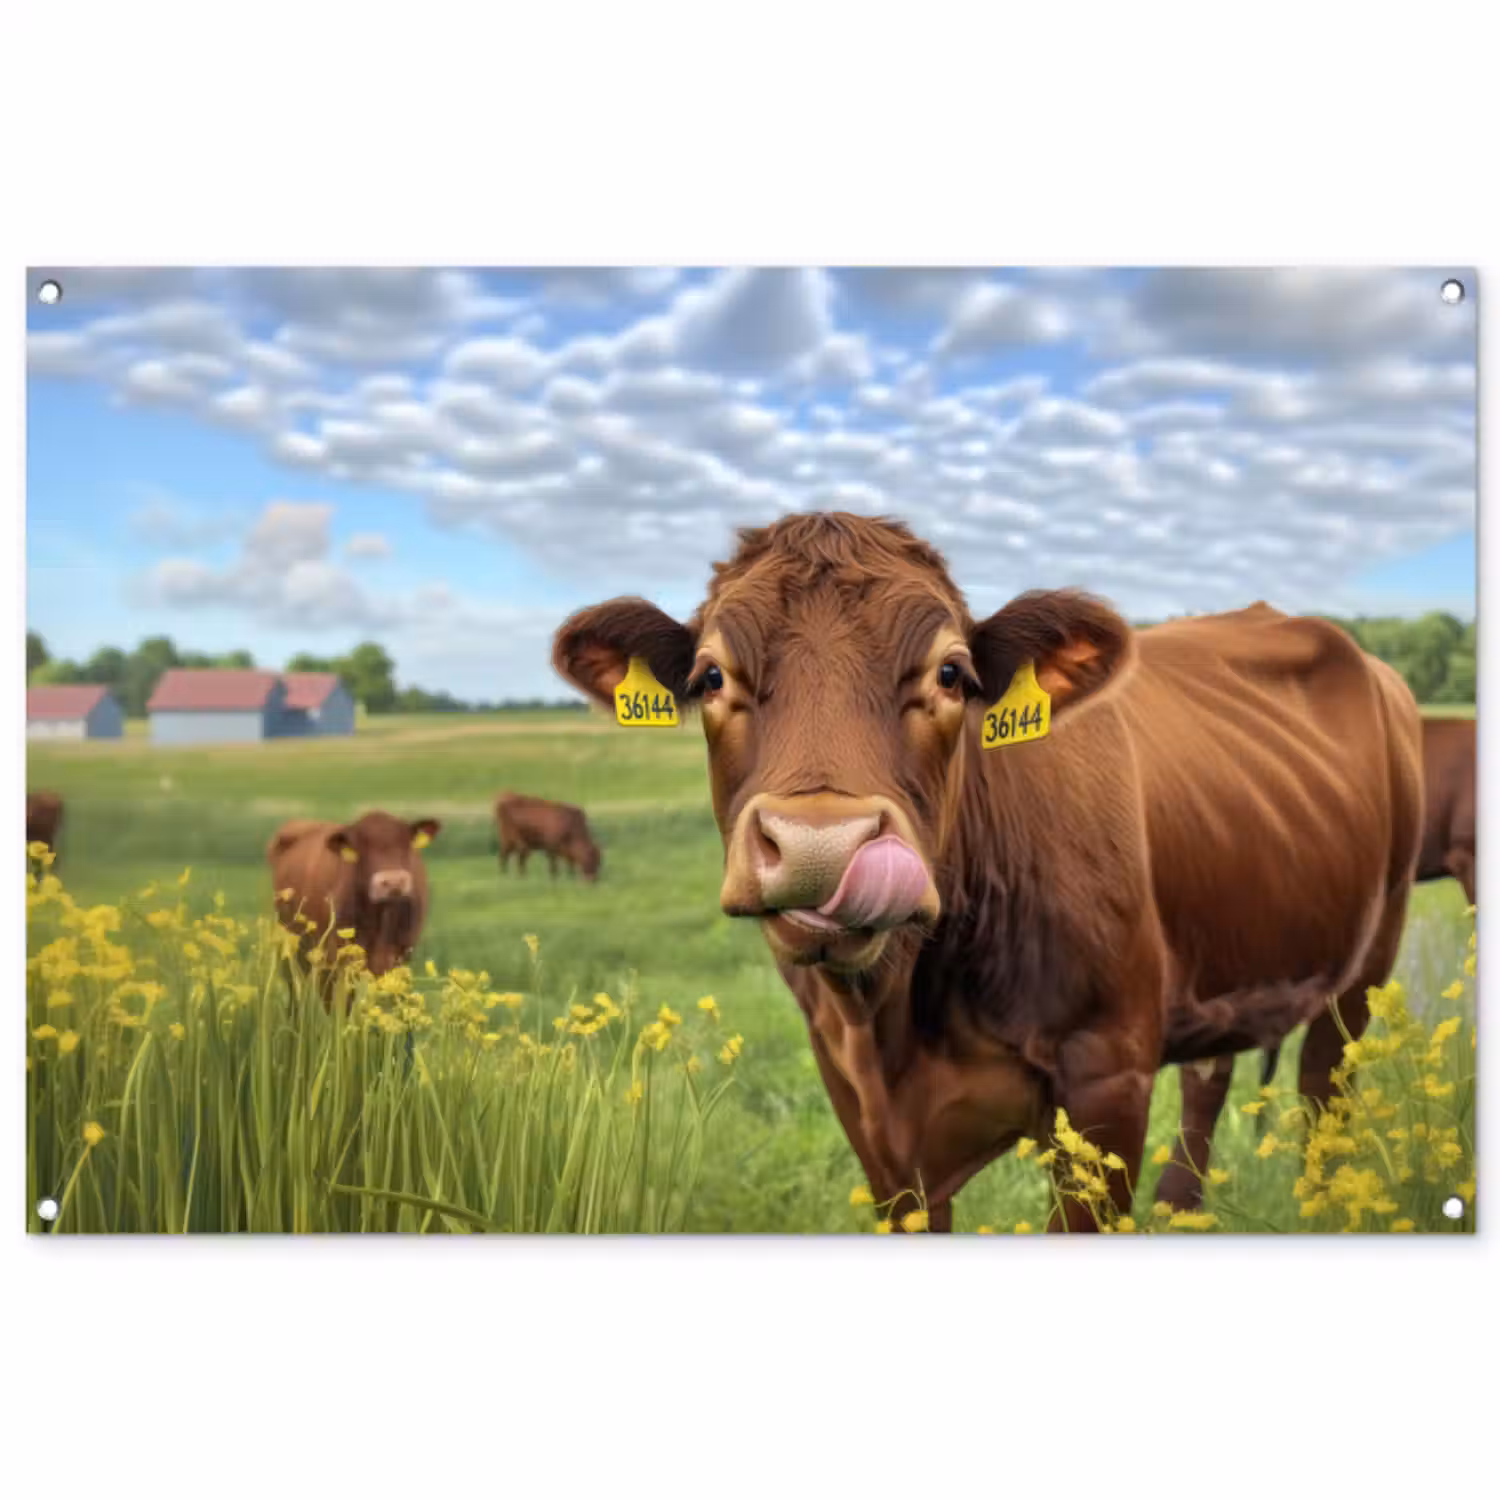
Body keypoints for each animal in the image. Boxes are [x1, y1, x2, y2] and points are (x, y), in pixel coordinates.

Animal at [552, 512, 1423, 1231]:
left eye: (950, 674)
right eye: (710, 677)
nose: (820, 845)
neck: (897, 1015)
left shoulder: (1107, 1078)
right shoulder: (863, 1109)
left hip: (1366, 965)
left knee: (1323, 1087)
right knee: (1212, 1080)